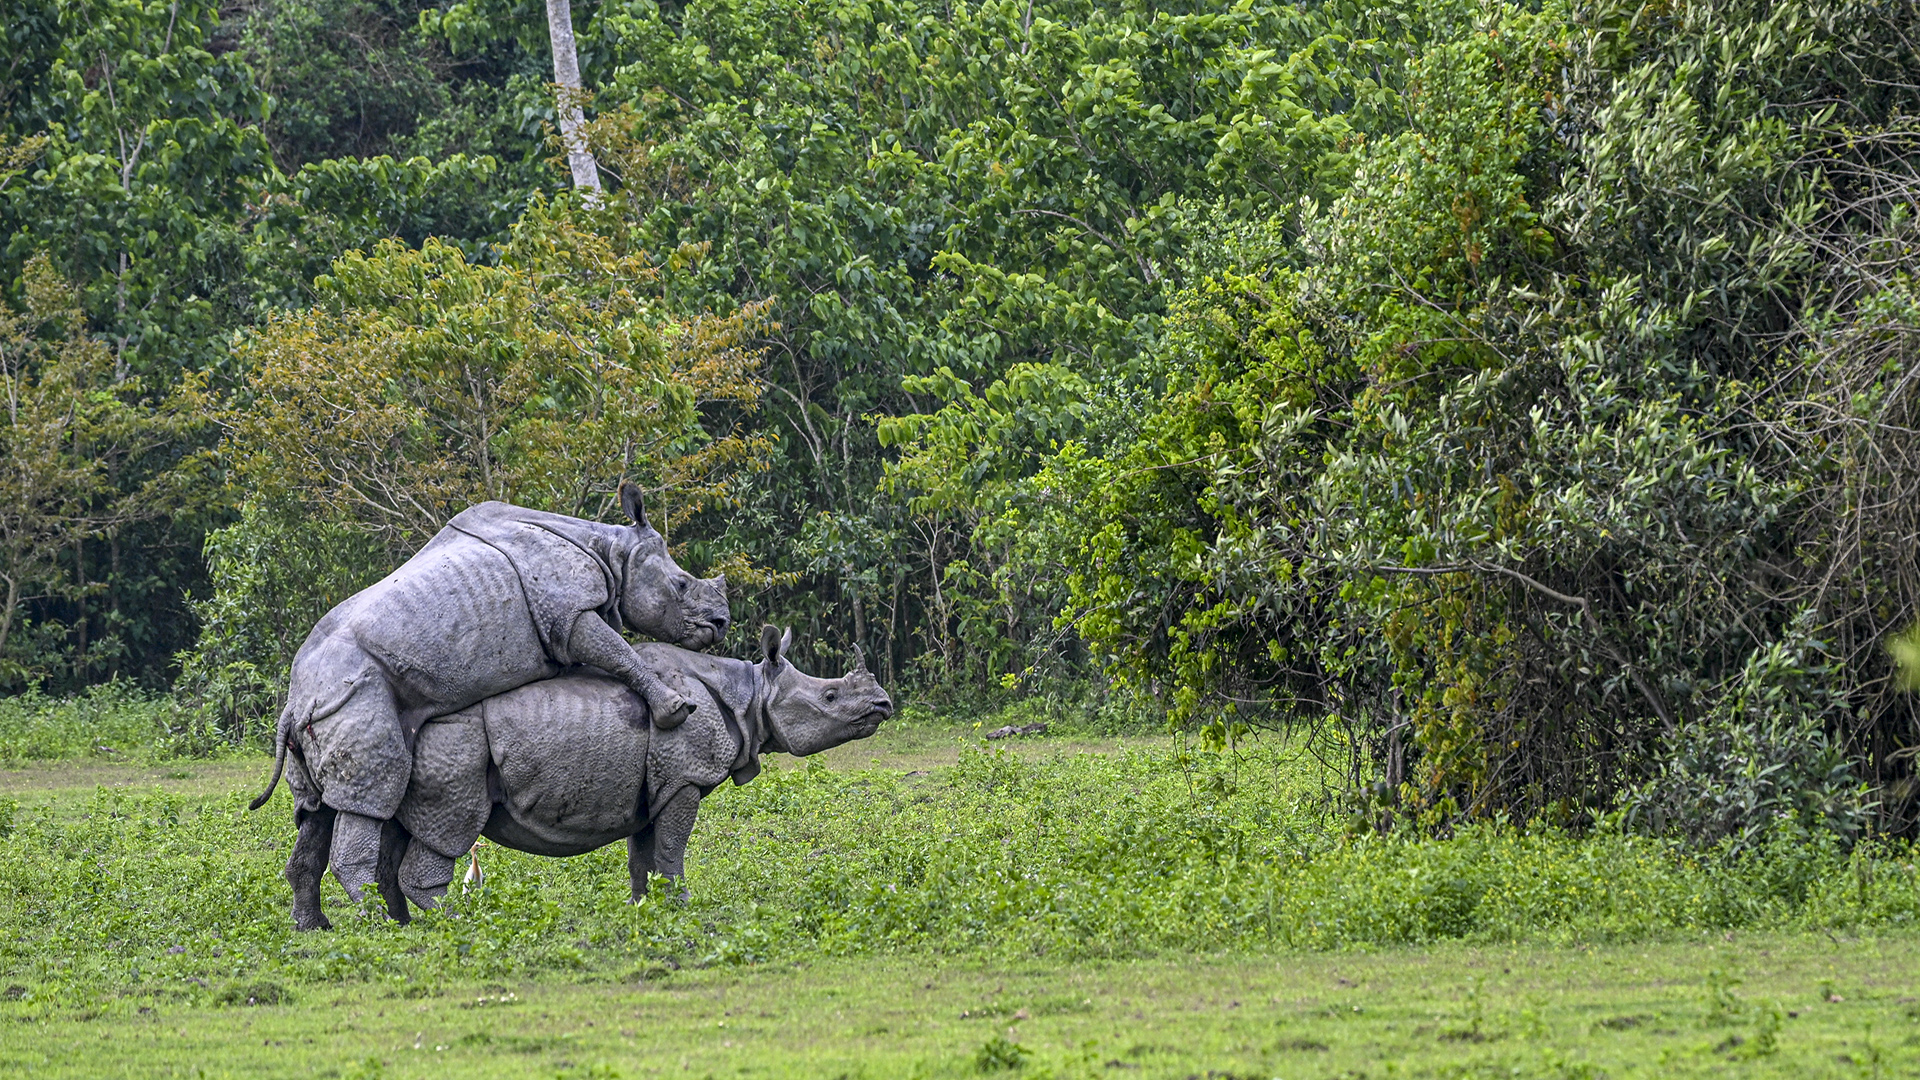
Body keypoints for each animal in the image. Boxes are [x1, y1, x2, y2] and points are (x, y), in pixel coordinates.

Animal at [251, 484, 729, 919]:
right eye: (681, 584)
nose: (722, 622)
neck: (613, 551)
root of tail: (294, 703)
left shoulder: (563, 617)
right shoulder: (565, 613)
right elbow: (618, 651)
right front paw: (675, 710)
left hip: (319, 706)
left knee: (316, 811)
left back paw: (318, 928)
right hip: (351, 694)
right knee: (371, 794)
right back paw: (382, 926)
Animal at [276, 625, 891, 928]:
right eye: (830, 697)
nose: (883, 705)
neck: (750, 693)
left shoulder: (658, 784)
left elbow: (646, 856)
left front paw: (645, 911)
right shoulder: (685, 779)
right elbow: (672, 852)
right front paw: (683, 912)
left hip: (408, 748)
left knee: (385, 825)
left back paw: (382, 928)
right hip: (453, 745)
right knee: (447, 830)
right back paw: (455, 926)